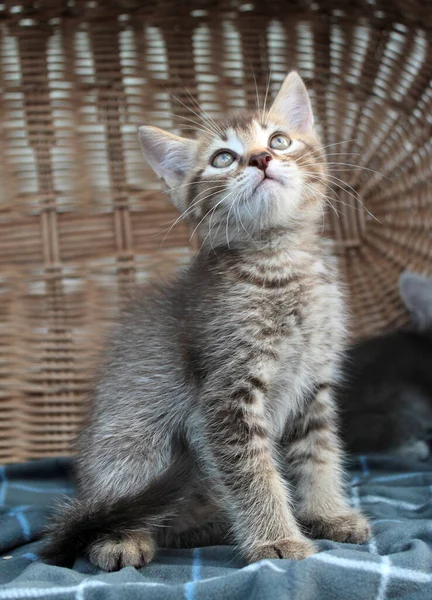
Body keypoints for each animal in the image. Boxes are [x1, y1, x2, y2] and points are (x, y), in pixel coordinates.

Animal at [42, 72, 370, 568]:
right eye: (222, 158)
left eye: (279, 139)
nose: (261, 158)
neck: (280, 265)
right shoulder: (226, 394)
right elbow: (253, 472)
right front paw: (276, 539)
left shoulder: (313, 384)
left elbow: (319, 455)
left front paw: (327, 513)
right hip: (132, 434)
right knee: (121, 501)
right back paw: (121, 538)